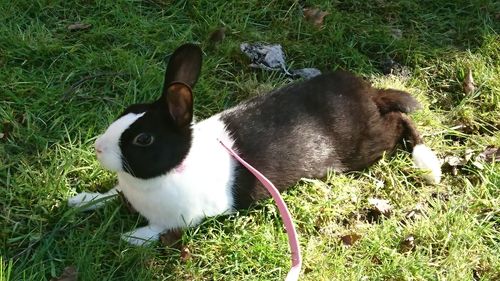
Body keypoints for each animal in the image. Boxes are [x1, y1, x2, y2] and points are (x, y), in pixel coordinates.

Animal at [68, 42, 440, 244]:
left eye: (143, 139)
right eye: (127, 111)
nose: (98, 148)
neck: (174, 167)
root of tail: (368, 94)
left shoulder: (187, 217)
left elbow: (160, 228)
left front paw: (132, 238)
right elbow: (109, 194)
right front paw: (80, 200)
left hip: (367, 146)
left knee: (400, 121)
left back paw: (428, 163)